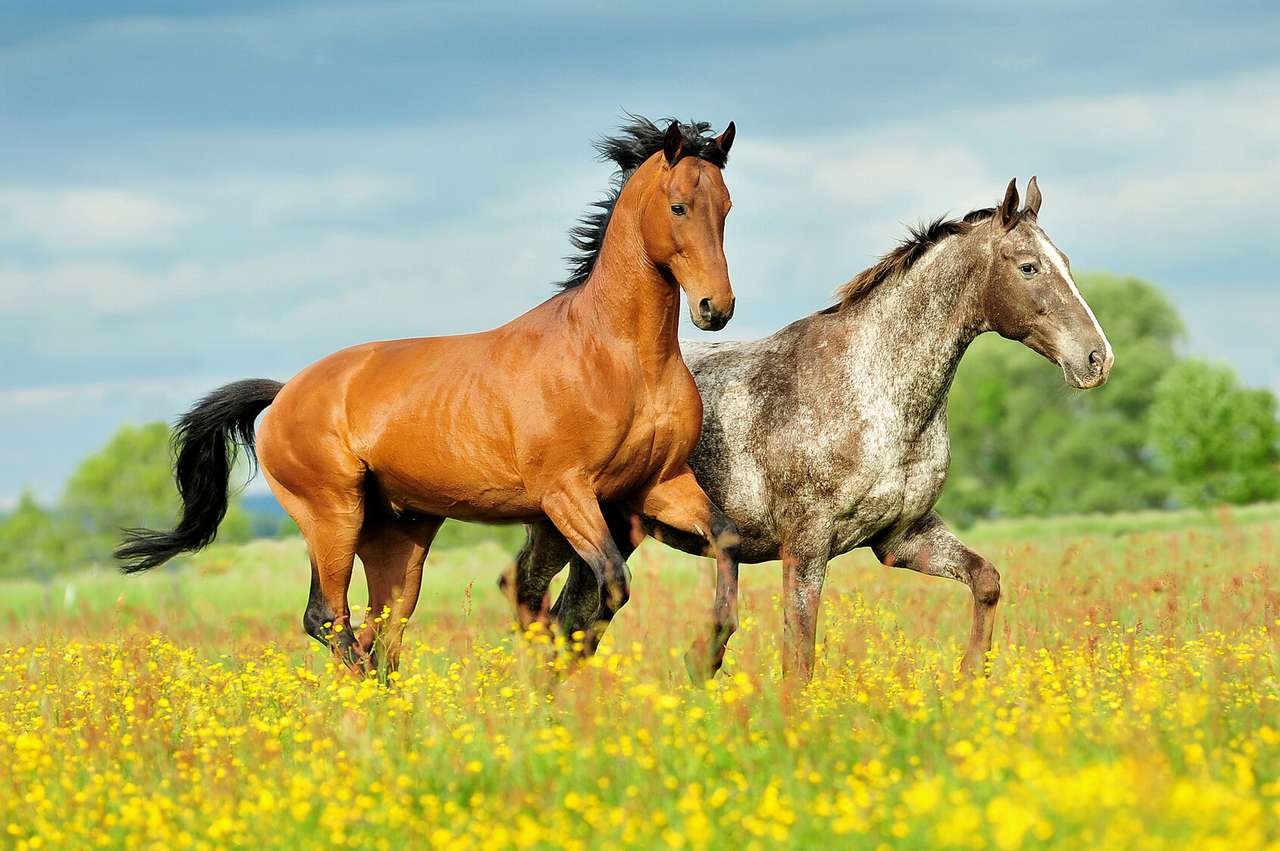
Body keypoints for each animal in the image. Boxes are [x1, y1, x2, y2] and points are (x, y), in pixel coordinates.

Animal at [120, 117, 747, 675]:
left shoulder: (658, 486)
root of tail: (282, 396)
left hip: (399, 538)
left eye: (726, 208)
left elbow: (726, 541)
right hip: (331, 517)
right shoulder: (567, 493)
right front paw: (554, 662)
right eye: (678, 206)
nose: (714, 308)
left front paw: (705, 657)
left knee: (381, 633)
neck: (618, 355)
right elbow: (607, 585)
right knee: (328, 618)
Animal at [504, 179, 1116, 685]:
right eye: (1029, 266)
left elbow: (985, 580)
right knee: (531, 599)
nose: (1097, 358)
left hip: (613, 538)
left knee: (572, 625)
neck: (875, 393)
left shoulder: (901, 538)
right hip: (561, 531)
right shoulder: (806, 547)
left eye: (1064, 261)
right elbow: (798, 660)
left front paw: (969, 683)